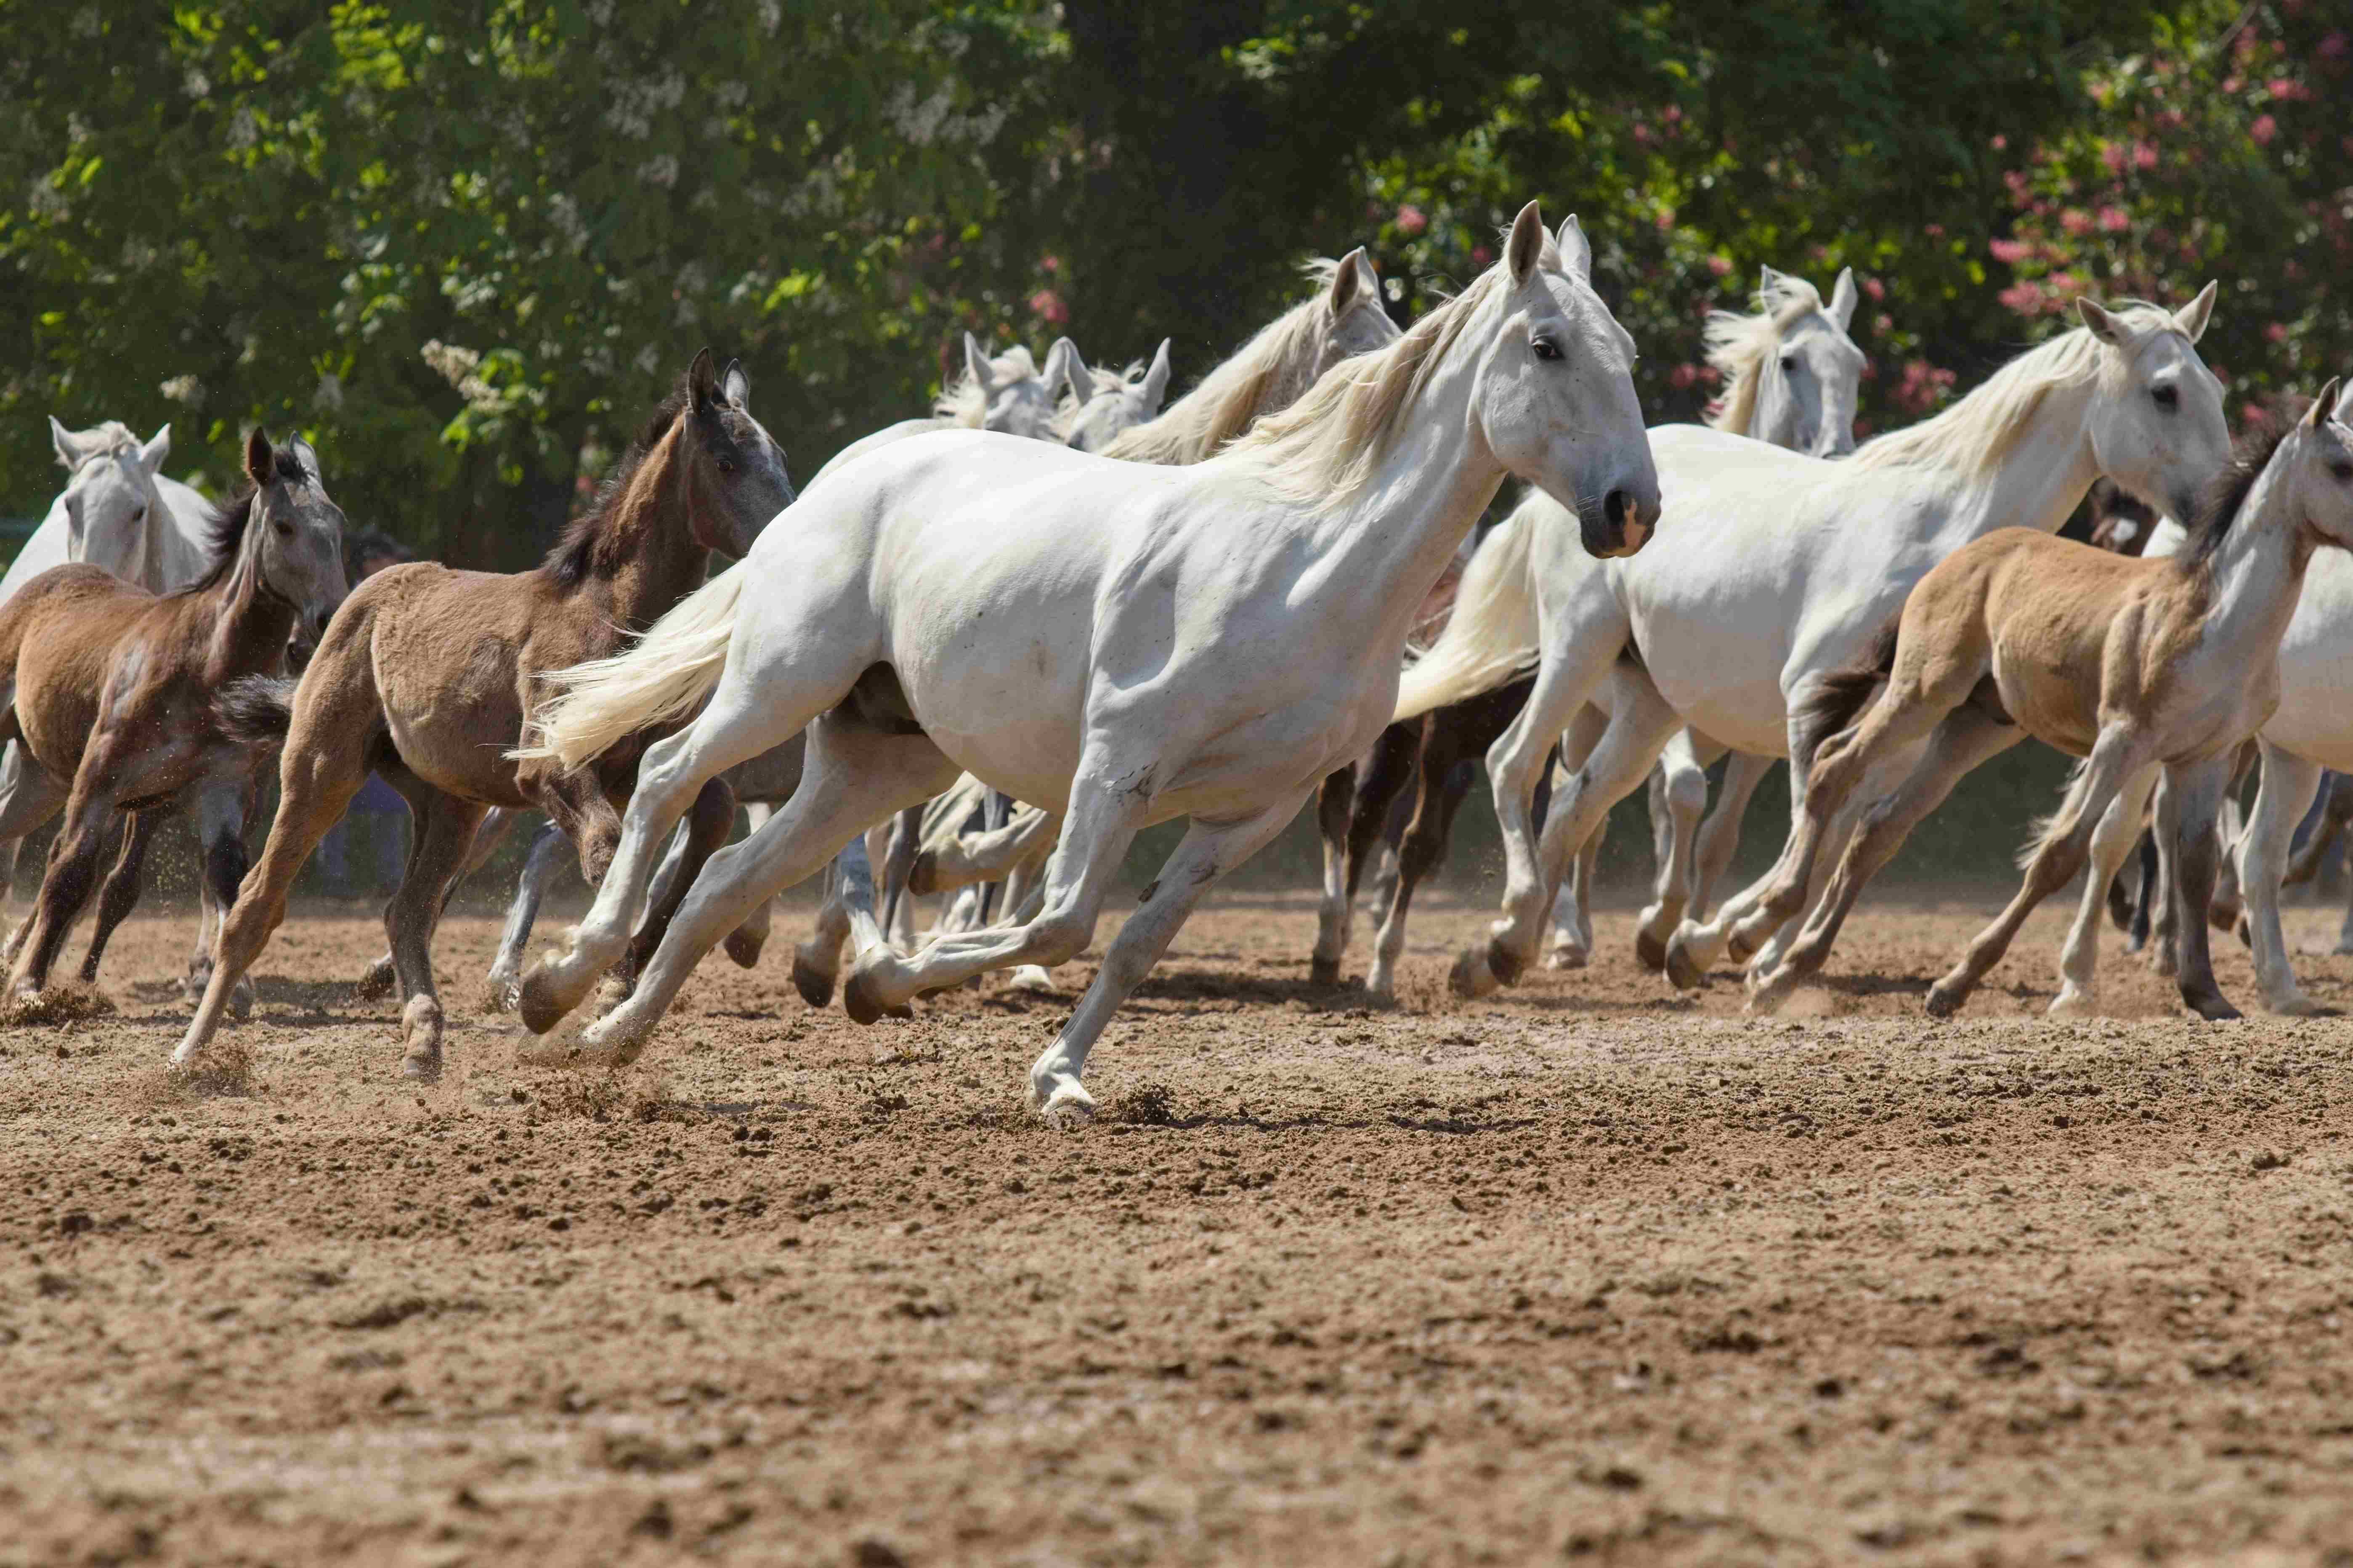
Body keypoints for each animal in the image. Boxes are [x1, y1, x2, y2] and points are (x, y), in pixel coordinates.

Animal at [0, 431, 348, 1003]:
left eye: (338, 525)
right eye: (284, 525)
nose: (329, 616)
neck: (203, 660)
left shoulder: (221, 789)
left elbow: (227, 878)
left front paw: (227, 986)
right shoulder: (99, 781)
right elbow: (69, 872)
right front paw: (28, 986)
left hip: (41, 779)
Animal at [183, 348, 790, 1073]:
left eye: (780, 455)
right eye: (727, 462)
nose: (793, 530)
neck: (607, 613)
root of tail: (355, 603)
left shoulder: (641, 763)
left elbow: (711, 814)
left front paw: (626, 969)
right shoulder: (547, 770)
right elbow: (607, 848)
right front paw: (577, 984)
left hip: (450, 804)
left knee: (407, 910)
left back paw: (423, 1035)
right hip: (320, 771)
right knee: (256, 905)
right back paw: (188, 1053)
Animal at [499, 204, 1666, 1111]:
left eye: (1629, 352)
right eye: (1548, 345)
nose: (1630, 510)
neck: (1309, 562)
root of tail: (847, 470)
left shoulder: (1252, 811)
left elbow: (1131, 939)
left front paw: (1052, 1073)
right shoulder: (1117, 761)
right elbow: (1059, 918)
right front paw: (908, 982)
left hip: (882, 755)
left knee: (731, 880)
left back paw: (609, 1038)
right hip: (779, 683)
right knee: (666, 778)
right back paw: (559, 981)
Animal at [1402, 287, 2231, 993]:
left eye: (2216, 390)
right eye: (2165, 391)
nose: (2222, 501)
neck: (1940, 535)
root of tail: (1581, 489)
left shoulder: (1900, 734)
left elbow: (1838, 835)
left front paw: (1722, 946)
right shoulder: (1811, 699)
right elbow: (1812, 817)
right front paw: (1734, 945)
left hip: (1650, 705)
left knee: (1580, 804)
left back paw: (1503, 952)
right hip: (1581, 650)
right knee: (1516, 765)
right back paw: (1522, 938)